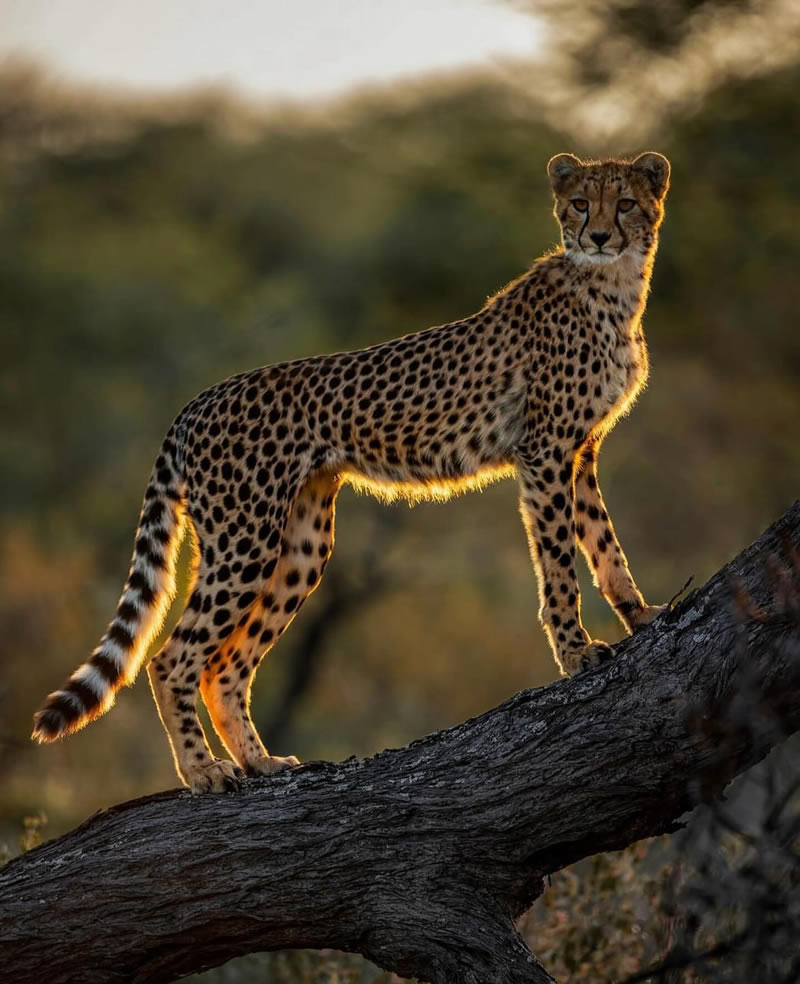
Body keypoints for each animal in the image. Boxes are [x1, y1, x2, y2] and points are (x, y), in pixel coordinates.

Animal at [31, 150, 668, 792]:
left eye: (625, 203)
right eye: (580, 203)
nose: (598, 236)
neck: (614, 287)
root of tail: (200, 399)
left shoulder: (580, 452)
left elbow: (604, 543)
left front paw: (640, 614)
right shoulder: (545, 452)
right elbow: (560, 561)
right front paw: (576, 652)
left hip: (300, 544)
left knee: (226, 665)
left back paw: (260, 761)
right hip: (245, 540)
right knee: (172, 658)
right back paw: (203, 770)